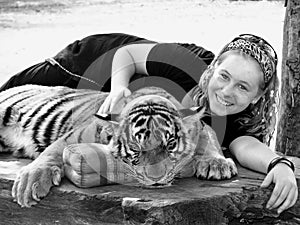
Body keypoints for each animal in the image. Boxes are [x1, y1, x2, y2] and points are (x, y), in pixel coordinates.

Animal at [0, 85, 237, 207]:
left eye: (169, 145)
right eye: (136, 149)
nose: (156, 179)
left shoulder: (200, 126)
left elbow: (209, 140)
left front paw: (217, 164)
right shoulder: (73, 137)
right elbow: (51, 152)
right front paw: (30, 182)